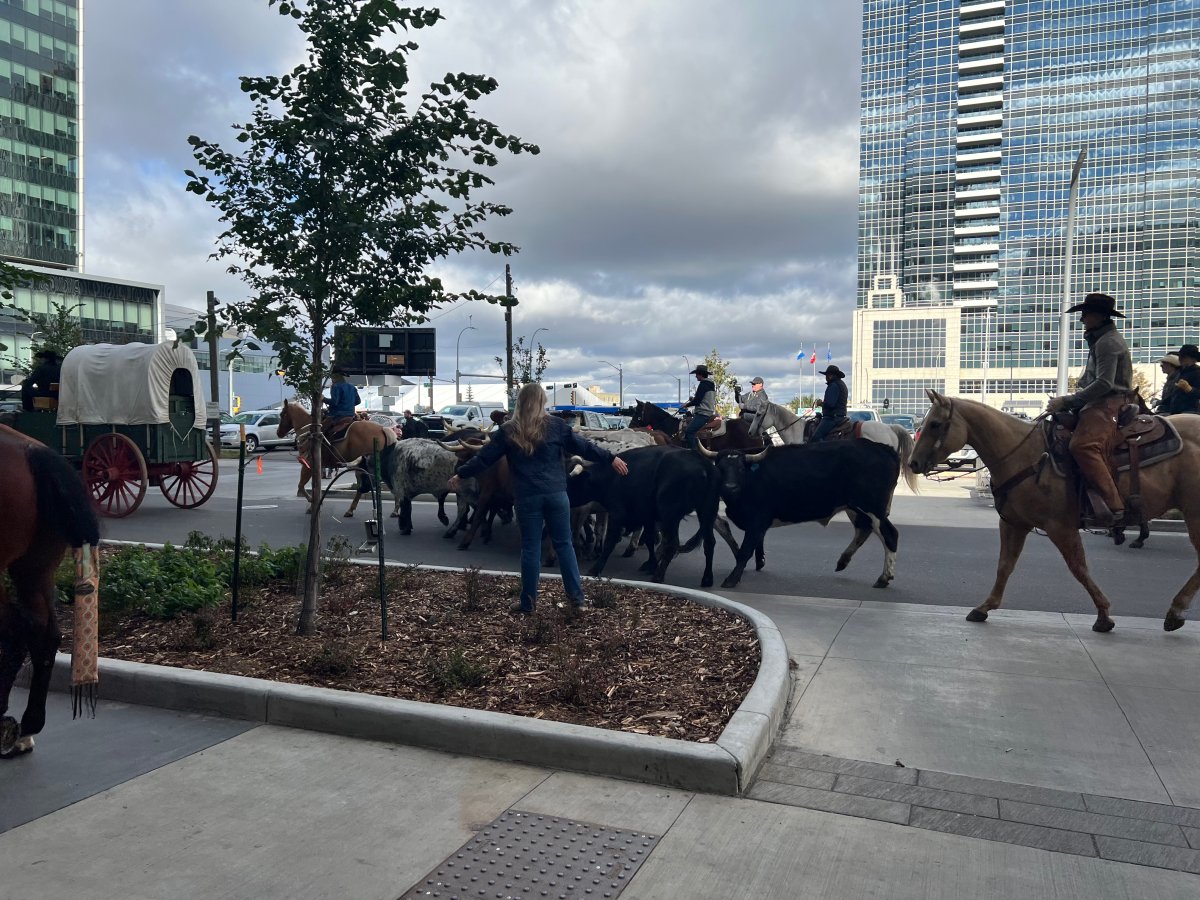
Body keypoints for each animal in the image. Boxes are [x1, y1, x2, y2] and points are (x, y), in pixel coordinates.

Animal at [566, 446, 715, 588]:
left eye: (571, 482)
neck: (611, 477)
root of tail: (702, 462)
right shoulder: (647, 516)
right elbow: (649, 539)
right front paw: (650, 564)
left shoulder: (617, 513)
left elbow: (610, 541)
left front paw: (595, 569)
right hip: (706, 512)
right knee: (709, 542)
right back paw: (707, 578)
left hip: (670, 515)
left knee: (672, 544)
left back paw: (658, 577)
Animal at [696, 441, 902, 592]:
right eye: (720, 468)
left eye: (740, 468)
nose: (729, 487)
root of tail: (882, 448)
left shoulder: (757, 521)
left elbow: (745, 552)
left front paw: (732, 579)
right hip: (856, 507)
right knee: (863, 530)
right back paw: (843, 561)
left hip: (872, 507)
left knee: (889, 534)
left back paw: (884, 577)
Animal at [907, 393, 1200, 633]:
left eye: (935, 424)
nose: (913, 463)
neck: (1025, 455)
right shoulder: (1014, 523)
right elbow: (1005, 565)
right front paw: (984, 607)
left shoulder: (1060, 527)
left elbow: (1078, 568)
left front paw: (1104, 615)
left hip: (1193, 513)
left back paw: (1175, 610)